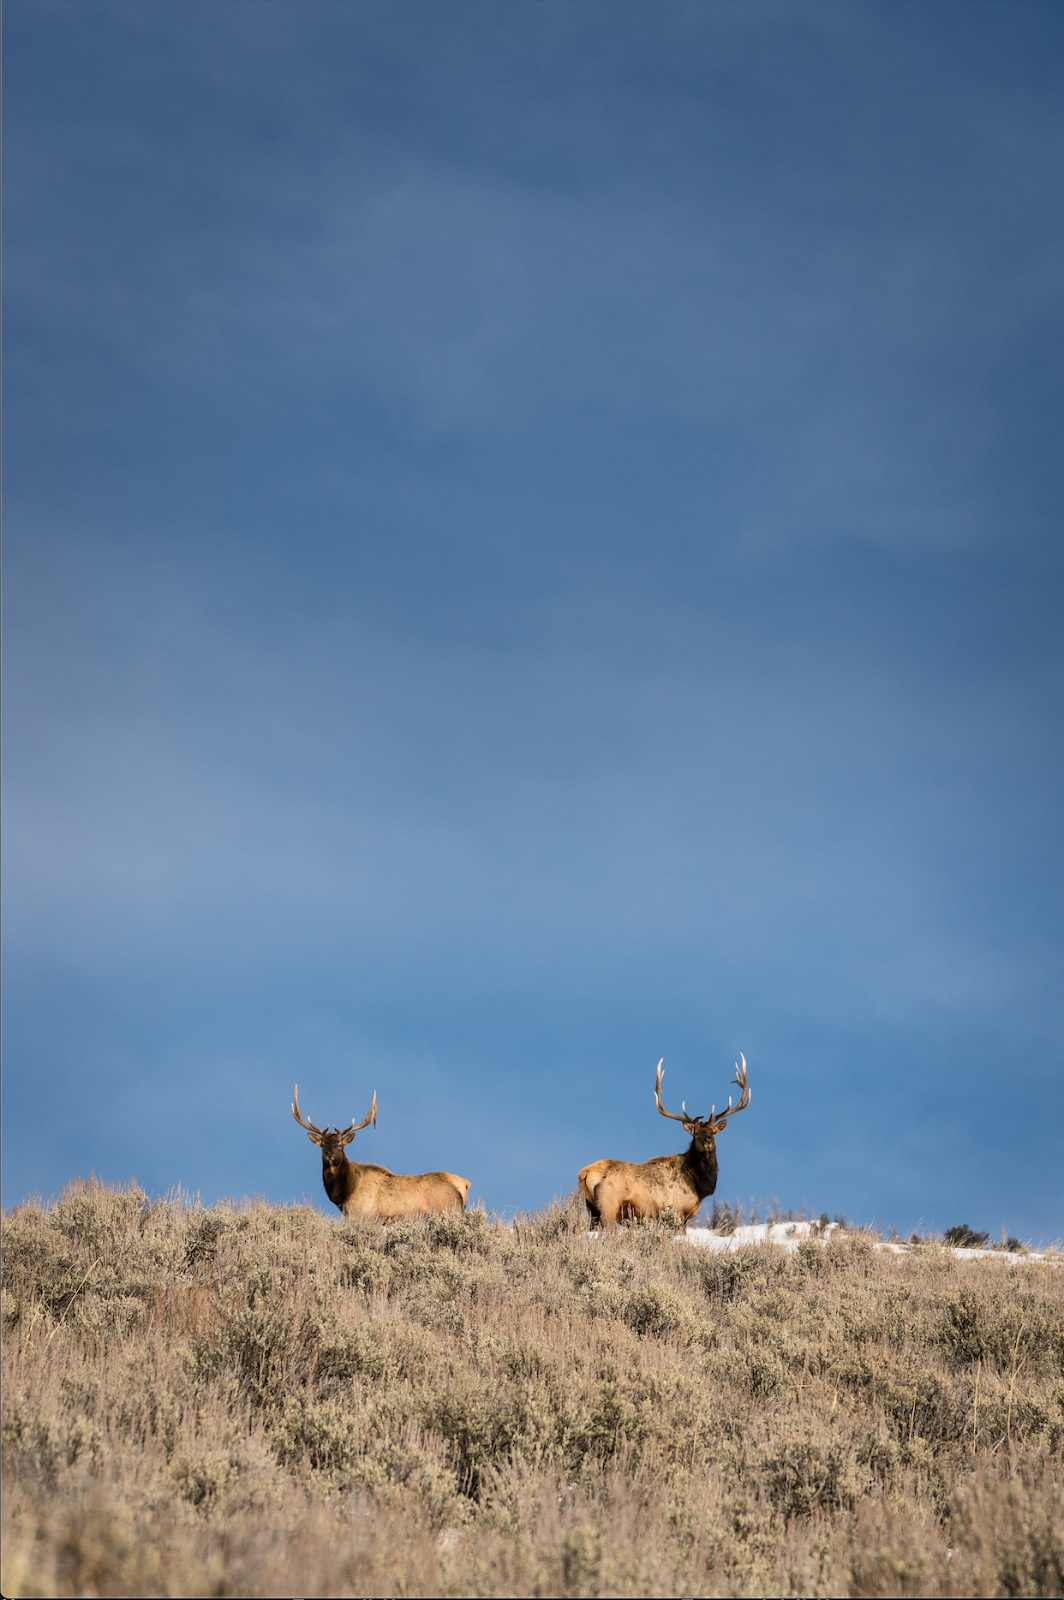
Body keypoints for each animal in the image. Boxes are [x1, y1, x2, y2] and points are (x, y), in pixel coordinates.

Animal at [292, 1086, 471, 1220]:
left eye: (341, 1145)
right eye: (322, 1145)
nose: (329, 1153)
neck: (344, 1193)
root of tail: (464, 1184)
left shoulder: (363, 1213)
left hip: (448, 1209)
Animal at [578, 1055, 750, 1229]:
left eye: (713, 1132)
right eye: (695, 1133)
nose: (707, 1140)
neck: (696, 1185)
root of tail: (585, 1173)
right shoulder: (678, 1212)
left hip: (591, 1208)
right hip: (608, 1205)